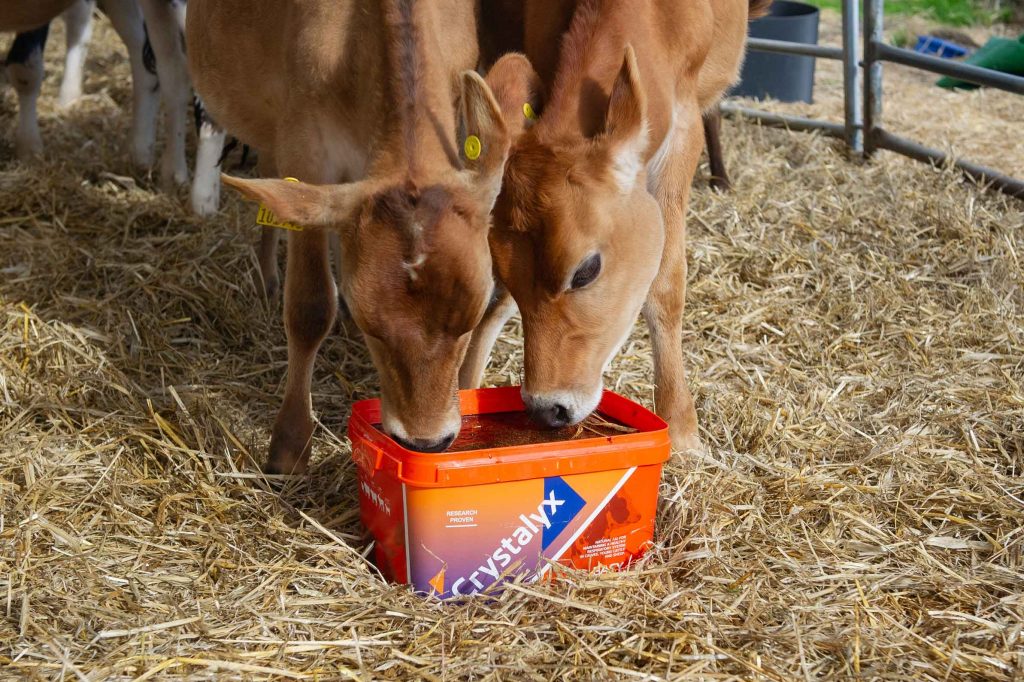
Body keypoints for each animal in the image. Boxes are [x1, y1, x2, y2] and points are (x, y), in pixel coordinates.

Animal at [187, 0, 527, 471]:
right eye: (373, 327)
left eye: (471, 319)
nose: (427, 441)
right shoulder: (305, 150)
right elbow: (310, 307)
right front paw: (289, 446)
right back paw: (267, 277)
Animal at [462, 0, 771, 452]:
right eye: (503, 270)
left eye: (586, 270)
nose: (546, 408)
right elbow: (499, 301)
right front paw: (465, 387)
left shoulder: (683, 129)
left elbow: (665, 284)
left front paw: (681, 425)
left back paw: (721, 178)